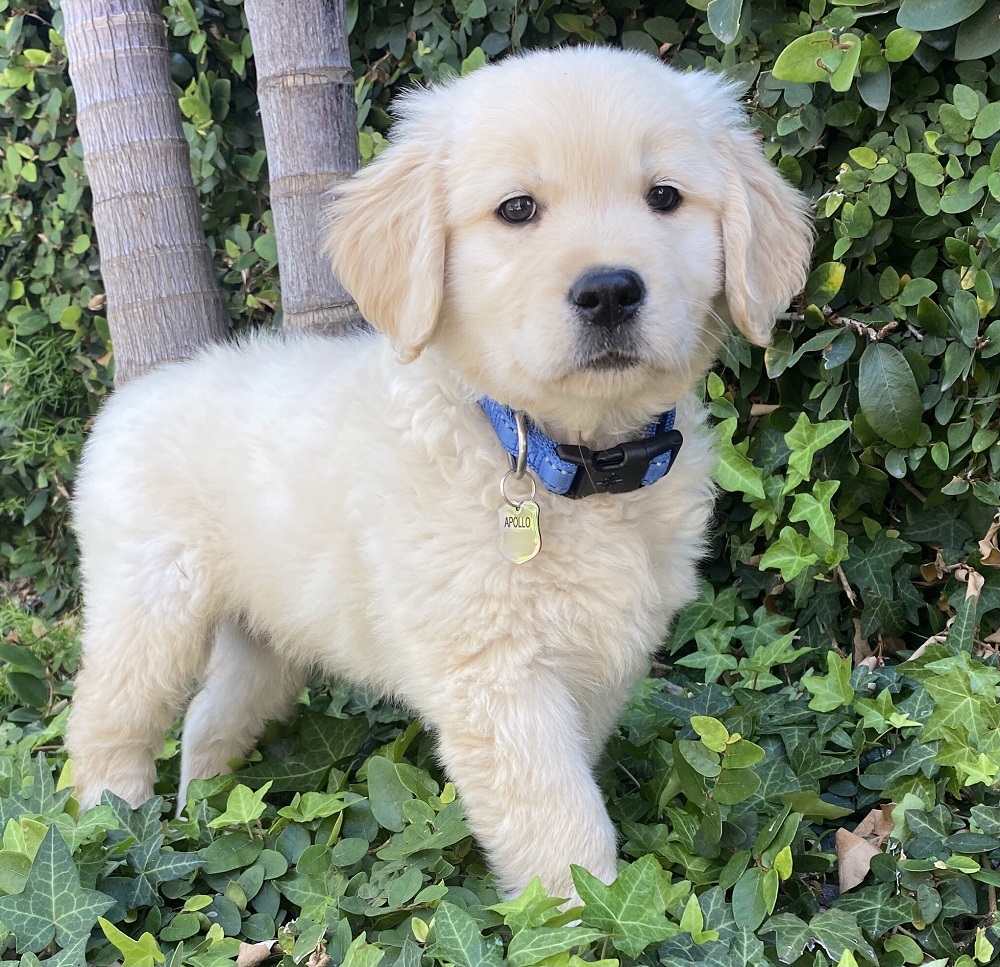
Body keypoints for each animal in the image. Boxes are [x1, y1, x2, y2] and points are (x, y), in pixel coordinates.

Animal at [68, 43, 812, 892]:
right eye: (517, 209)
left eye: (664, 197)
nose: (610, 290)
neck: (561, 457)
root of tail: (135, 391)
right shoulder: (496, 676)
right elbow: (559, 822)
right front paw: (586, 911)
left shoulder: (600, 660)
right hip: (148, 610)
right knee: (106, 725)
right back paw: (115, 833)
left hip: (266, 639)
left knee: (209, 720)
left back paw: (206, 813)